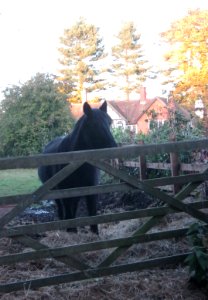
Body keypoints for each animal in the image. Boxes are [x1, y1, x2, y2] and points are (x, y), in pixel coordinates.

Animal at [37, 102, 117, 236]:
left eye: (110, 122)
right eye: (94, 124)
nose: (114, 147)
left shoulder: (90, 189)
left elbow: (92, 212)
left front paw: (94, 233)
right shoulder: (65, 191)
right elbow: (69, 212)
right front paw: (71, 230)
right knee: (62, 208)